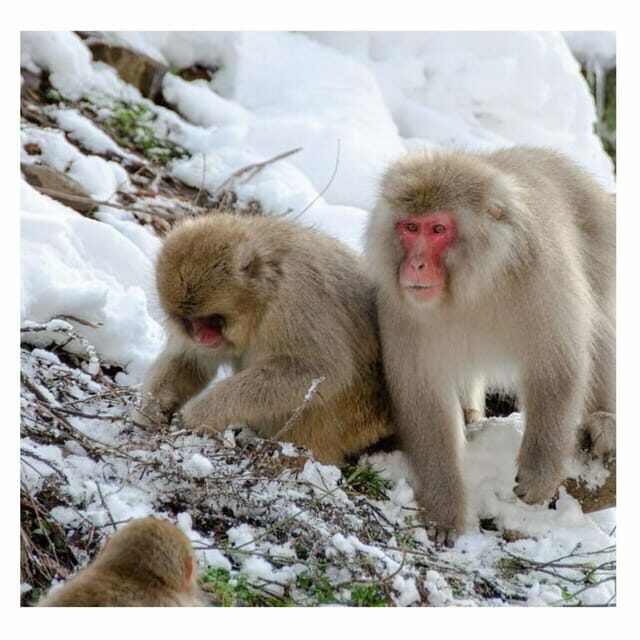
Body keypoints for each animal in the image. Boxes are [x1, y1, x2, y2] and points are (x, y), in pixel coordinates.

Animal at [138, 213, 393, 466]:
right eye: (190, 321)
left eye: (211, 319)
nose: (201, 336)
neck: (267, 289)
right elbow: (191, 361)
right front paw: (152, 407)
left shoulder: (297, 296)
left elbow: (318, 369)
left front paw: (201, 411)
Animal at [365, 147, 615, 546]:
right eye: (409, 227)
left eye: (437, 229)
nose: (415, 265)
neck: (475, 285)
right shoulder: (401, 307)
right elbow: (425, 398)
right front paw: (444, 511)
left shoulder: (541, 275)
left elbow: (558, 364)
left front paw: (539, 471)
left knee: (600, 319)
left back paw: (605, 420)